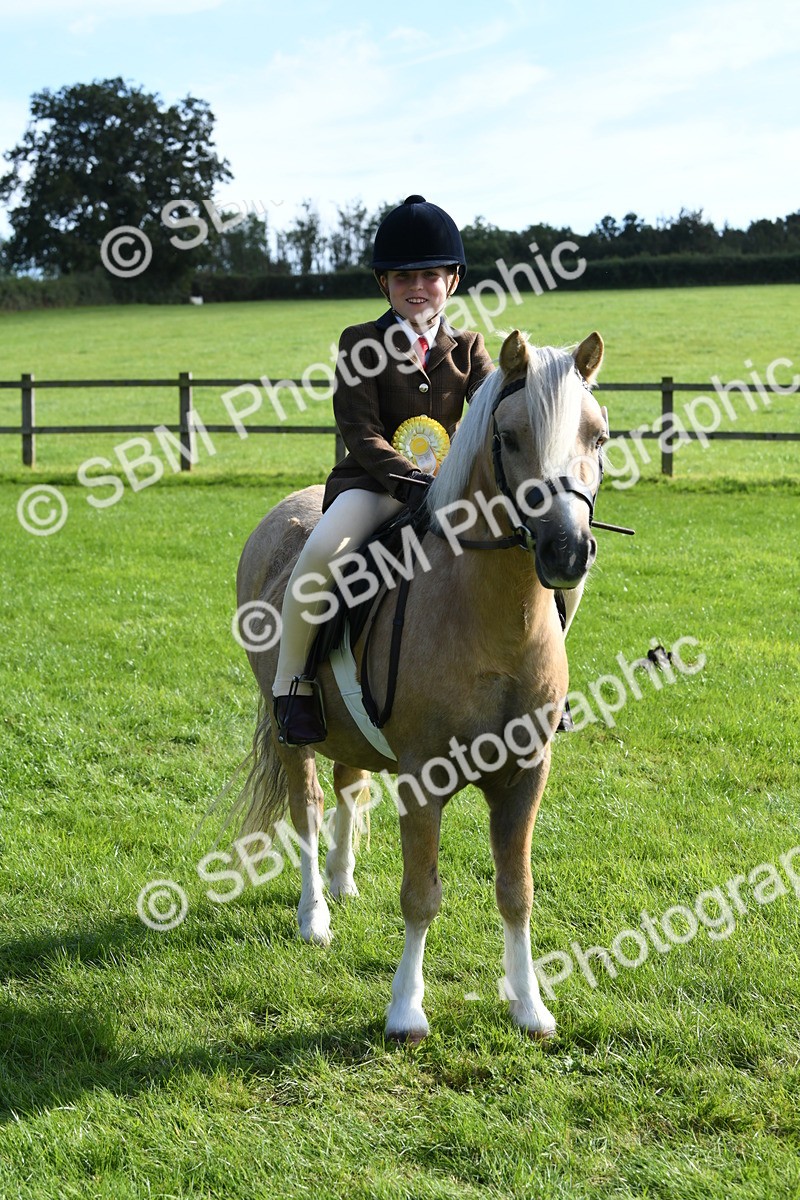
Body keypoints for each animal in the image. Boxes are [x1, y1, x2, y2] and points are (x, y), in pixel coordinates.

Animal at [234, 329, 609, 1042]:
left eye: (598, 436)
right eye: (510, 436)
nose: (567, 551)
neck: (493, 620)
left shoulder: (526, 775)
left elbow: (515, 890)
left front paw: (529, 1006)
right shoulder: (422, 778)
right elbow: (421, 895)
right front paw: (406, 1010)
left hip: (349, 731)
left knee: (348, 789)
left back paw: (342, 881)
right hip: (293, 729)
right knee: (307, 808)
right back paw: (315, 914)